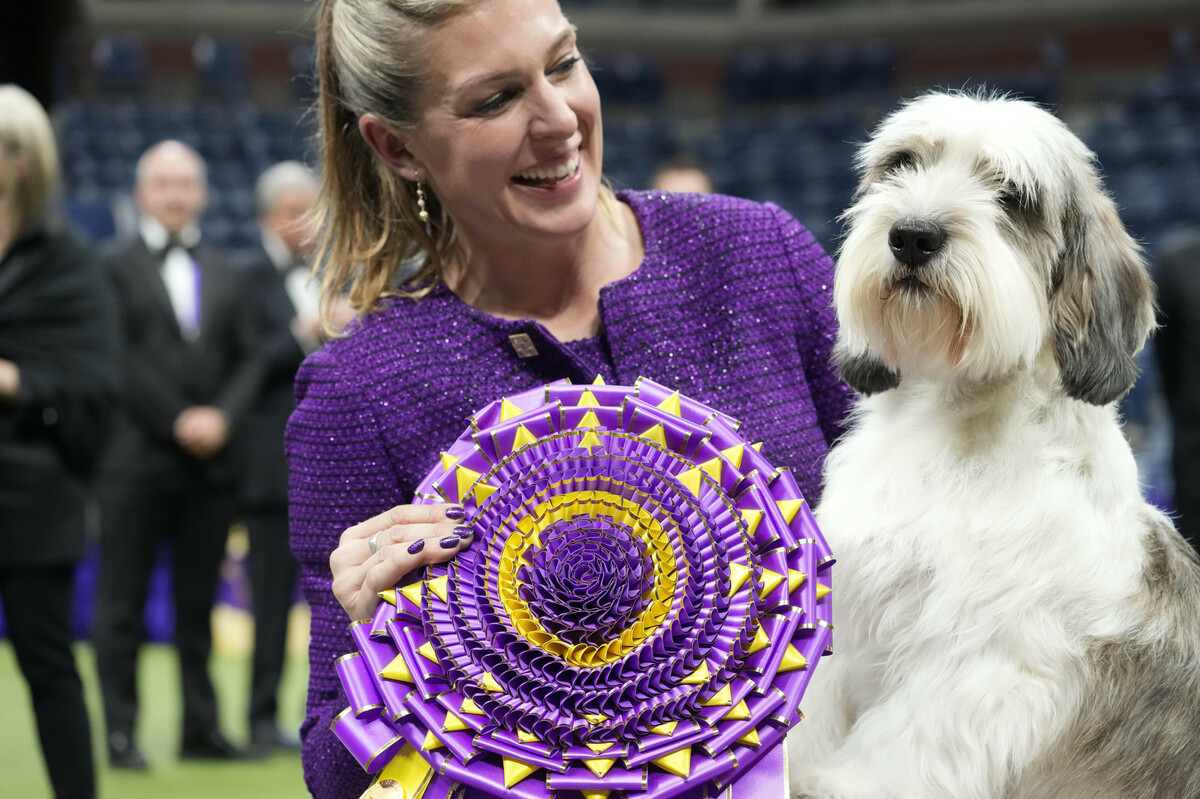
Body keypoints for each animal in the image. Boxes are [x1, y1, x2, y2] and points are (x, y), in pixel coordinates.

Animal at [787, 93, 1200, 796]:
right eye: (902, 165)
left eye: (1012, 195)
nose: (913, 236)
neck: (949, 422)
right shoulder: (851, 617)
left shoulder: (980, 673)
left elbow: (885, 763)